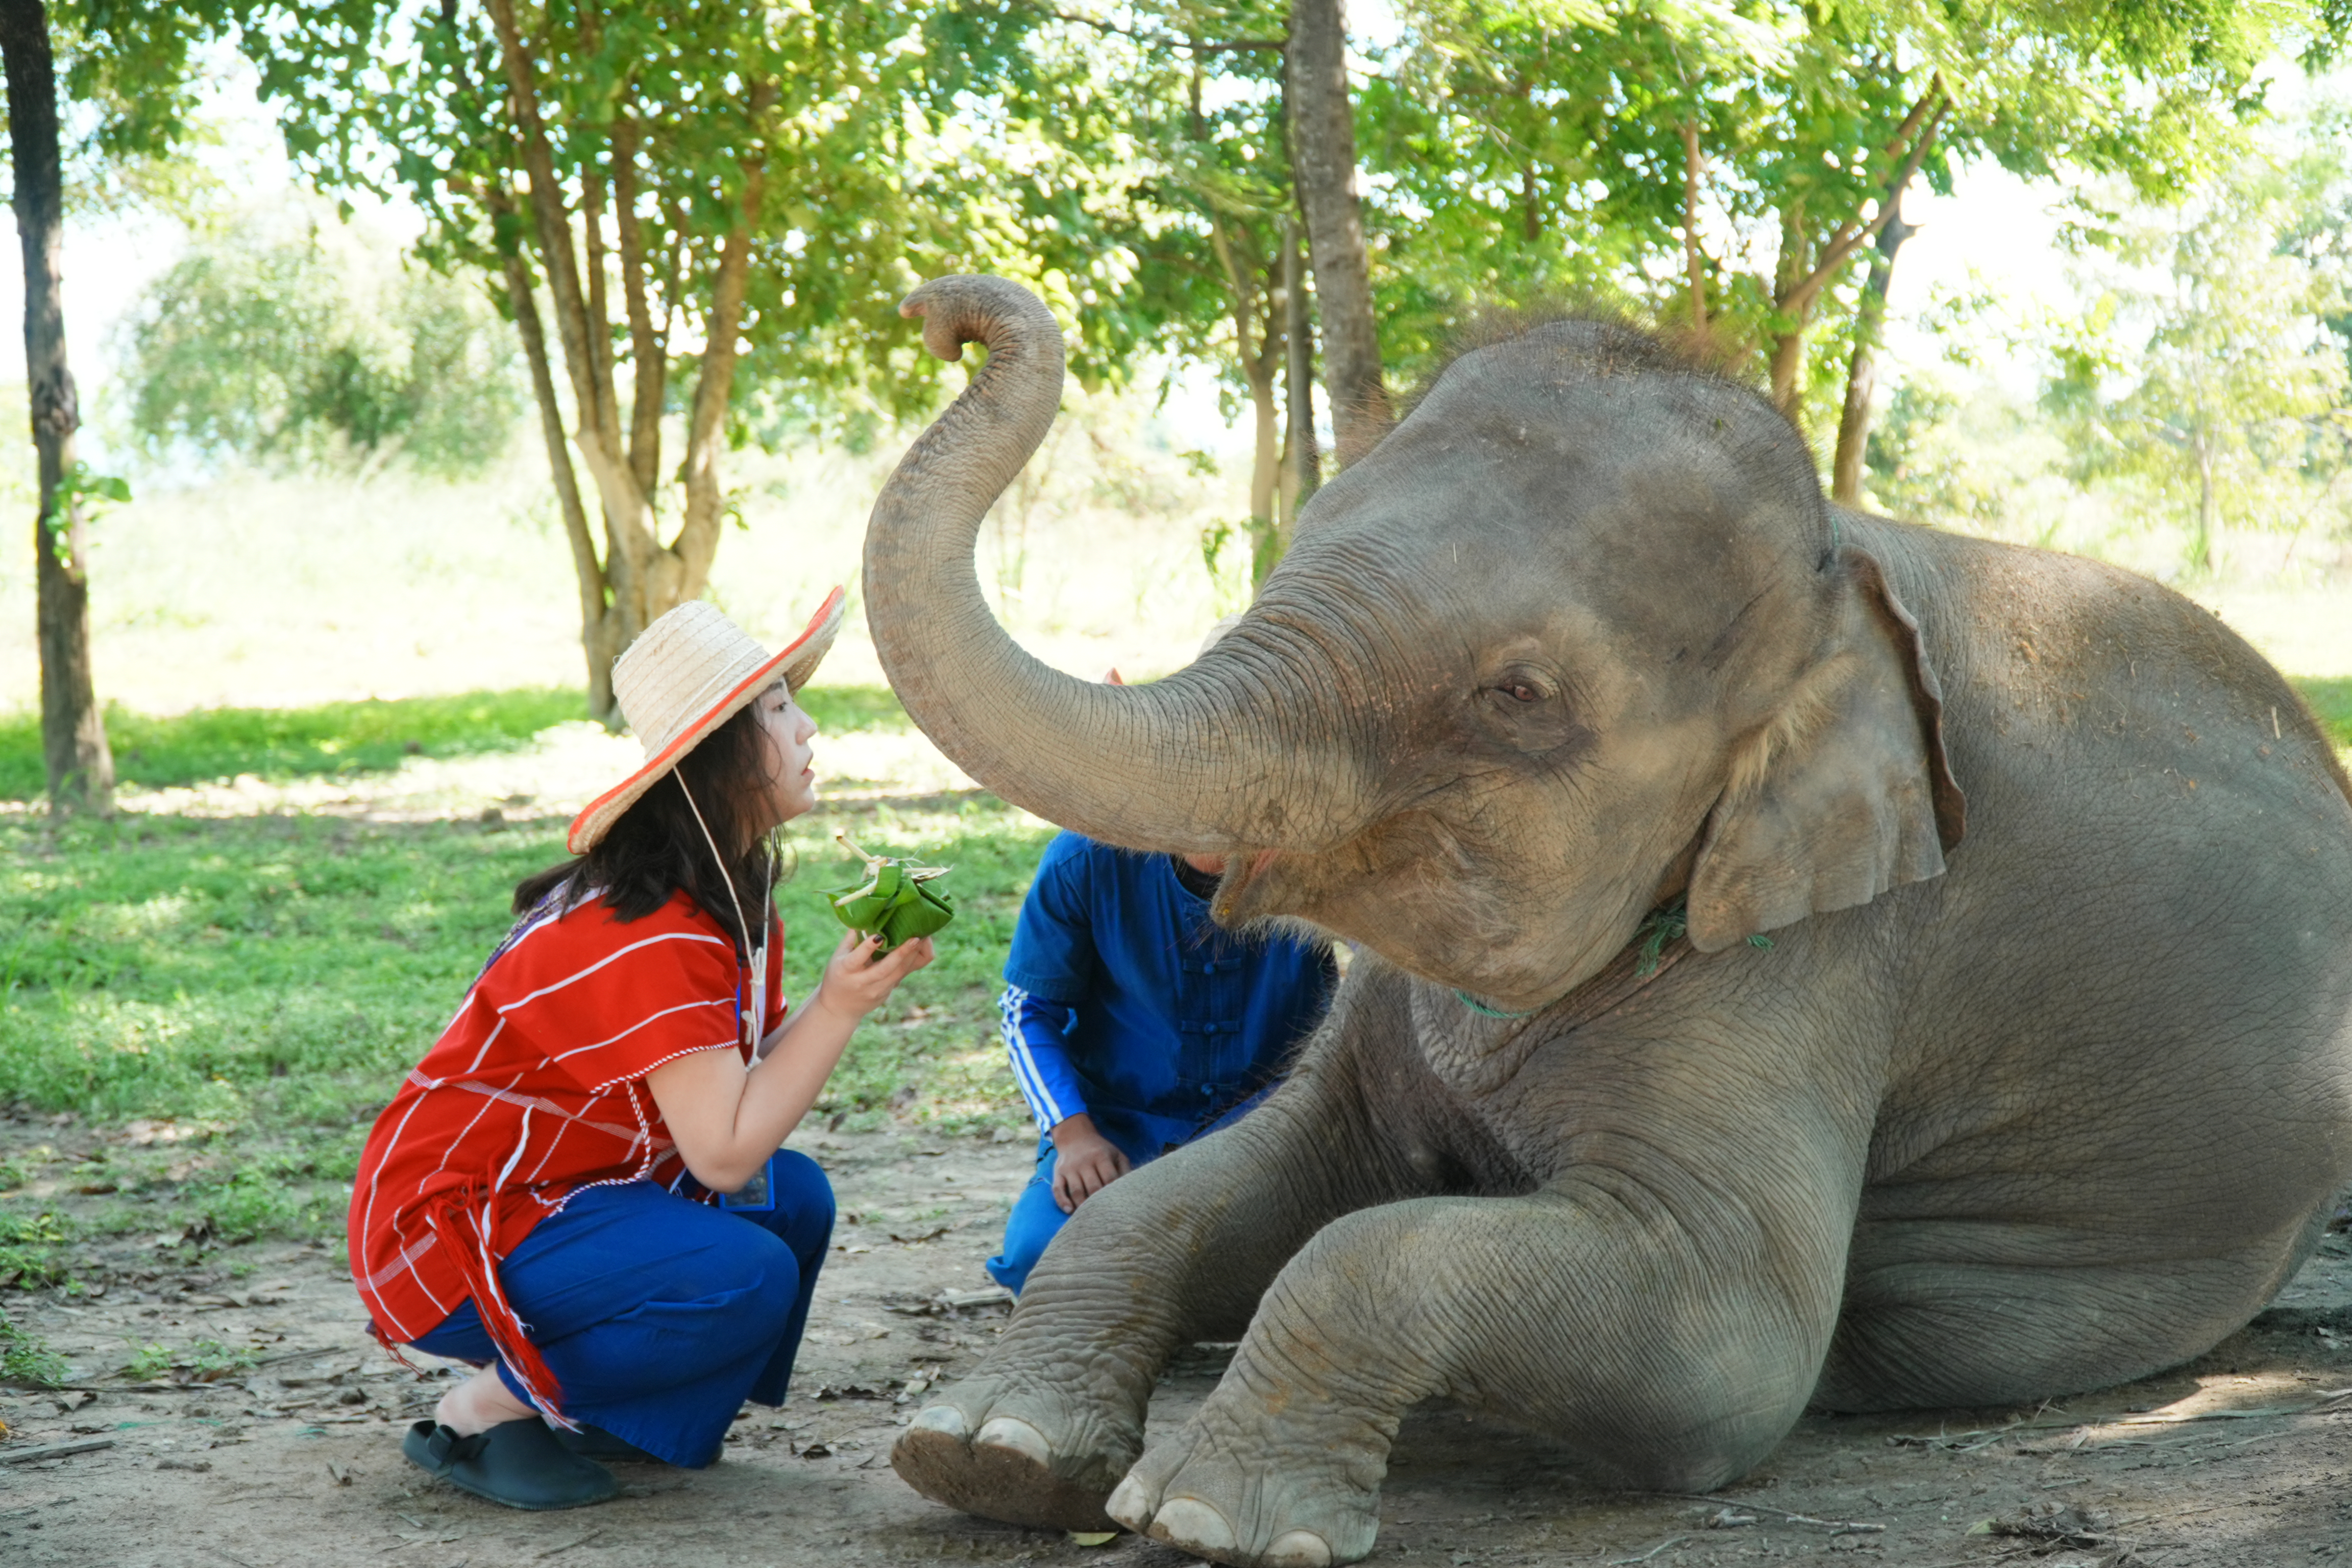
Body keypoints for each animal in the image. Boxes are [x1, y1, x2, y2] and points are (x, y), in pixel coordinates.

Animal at [863, 275, 2352, 1568]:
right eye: (1299, 532)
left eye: (1518, 694)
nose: (940, 314)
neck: (1837, 571)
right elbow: (1226, 1179)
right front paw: (986, 1456)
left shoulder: (1827, 956)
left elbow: (1722, 1346)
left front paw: (1208, 1517)